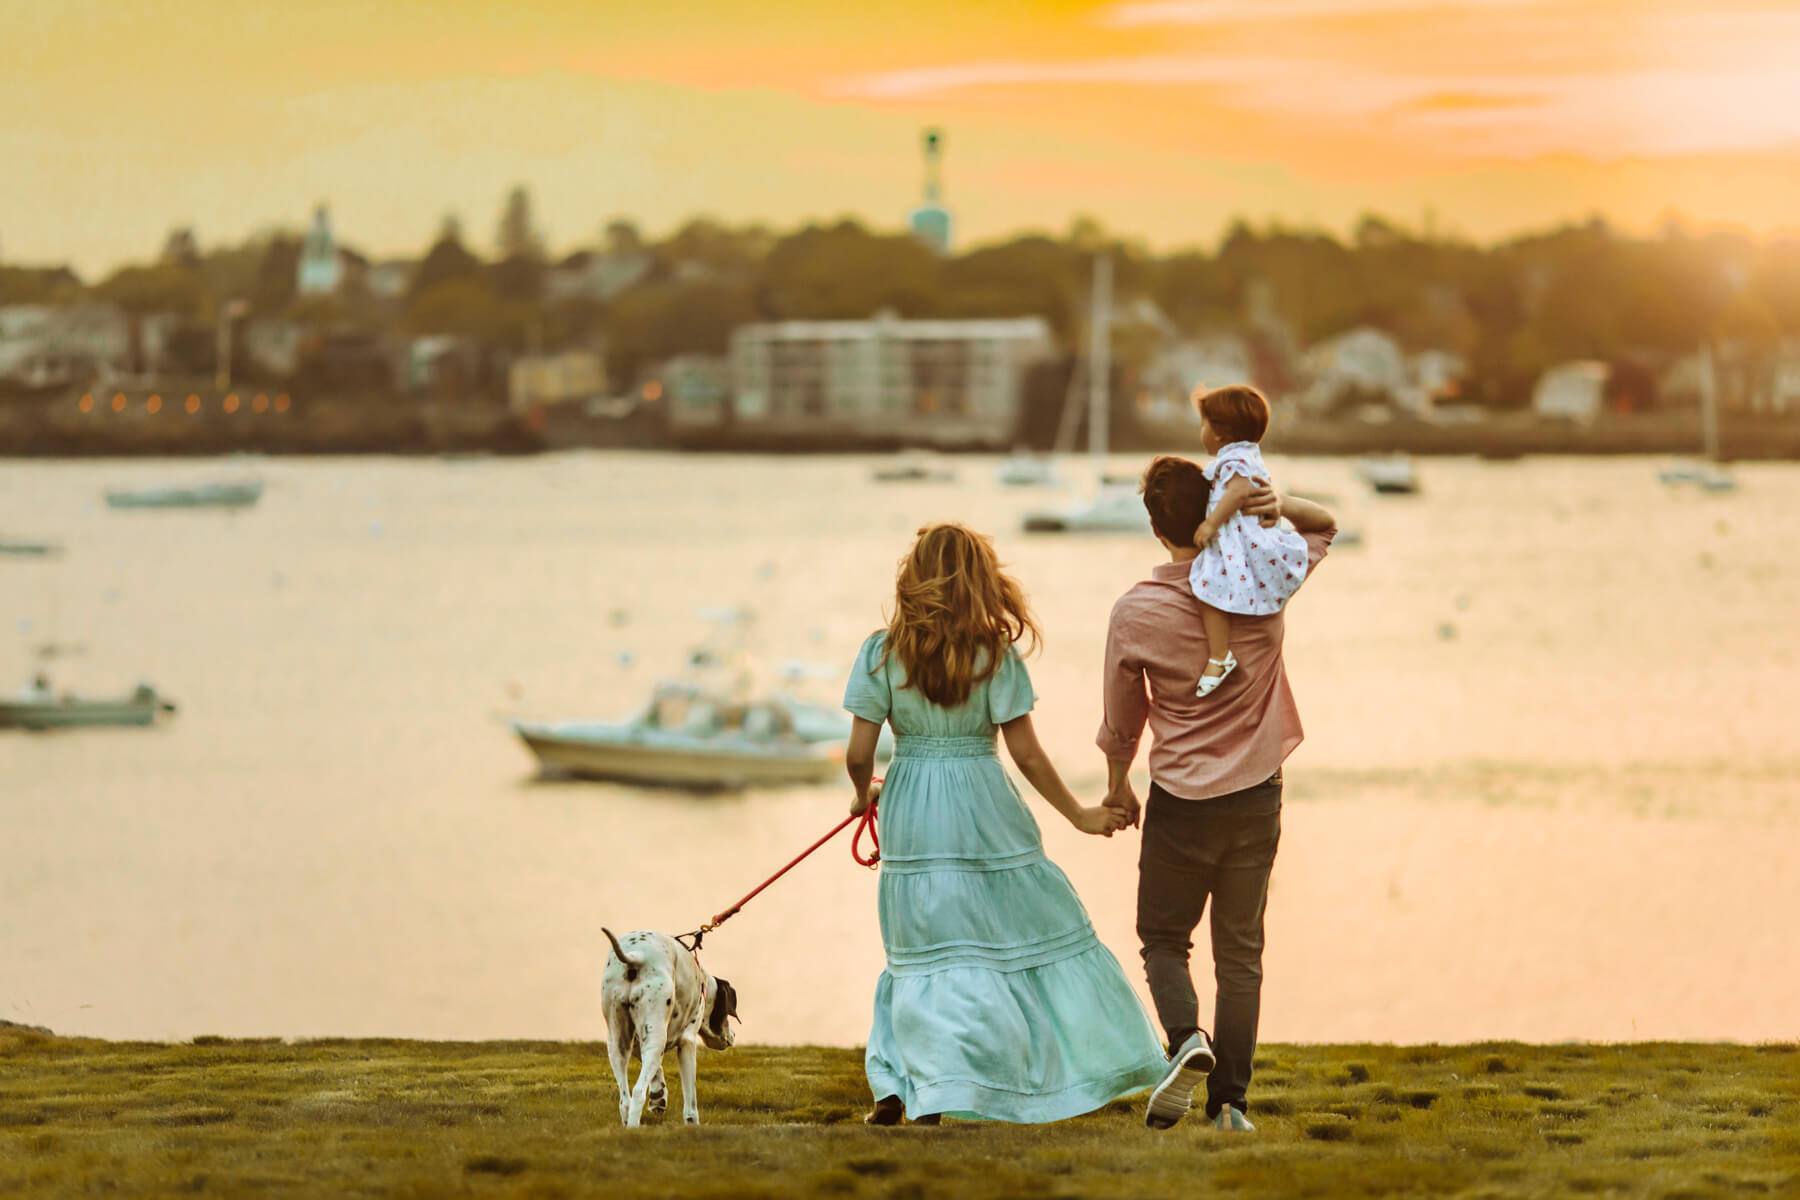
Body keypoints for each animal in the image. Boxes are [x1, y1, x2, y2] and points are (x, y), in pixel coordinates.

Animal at [601, 928, 734, 1129]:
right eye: (726, 1012)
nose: (733, 1036)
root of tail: (636, 956)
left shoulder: (638, 1040)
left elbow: (656, 1070)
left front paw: (658, 1096)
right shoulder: (687, 1043)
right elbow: (690, 1098)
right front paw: (692, 1124)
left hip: (619, 1043)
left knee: (625, 1100)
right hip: (655, 1036)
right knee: (638, 1092)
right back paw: (633, 1127)